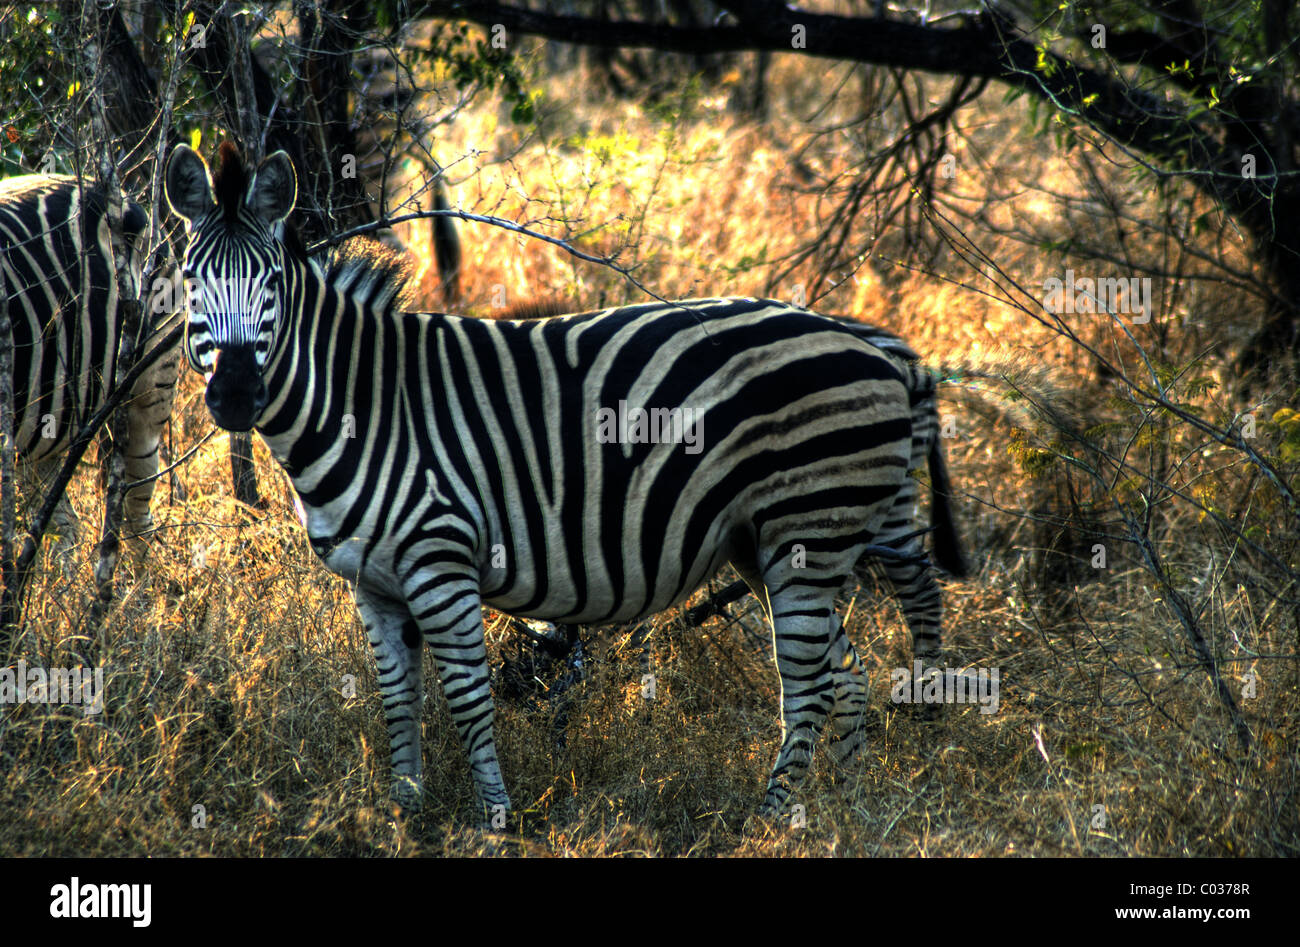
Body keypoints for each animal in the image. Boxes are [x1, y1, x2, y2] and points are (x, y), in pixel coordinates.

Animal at [164, 141, 968, 818]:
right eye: (192, 281)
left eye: (270, 283)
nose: (234, 393)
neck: (364, 402)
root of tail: (878, 347)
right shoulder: (374, 583)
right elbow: (397, 700)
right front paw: (404, 814)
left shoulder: (441, 564)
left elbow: (468, 698)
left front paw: (494, 819)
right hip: (773, 541)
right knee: (848, 670)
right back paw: (841, 804)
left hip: (810, 526)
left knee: (814, 680)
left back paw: (771, 818)